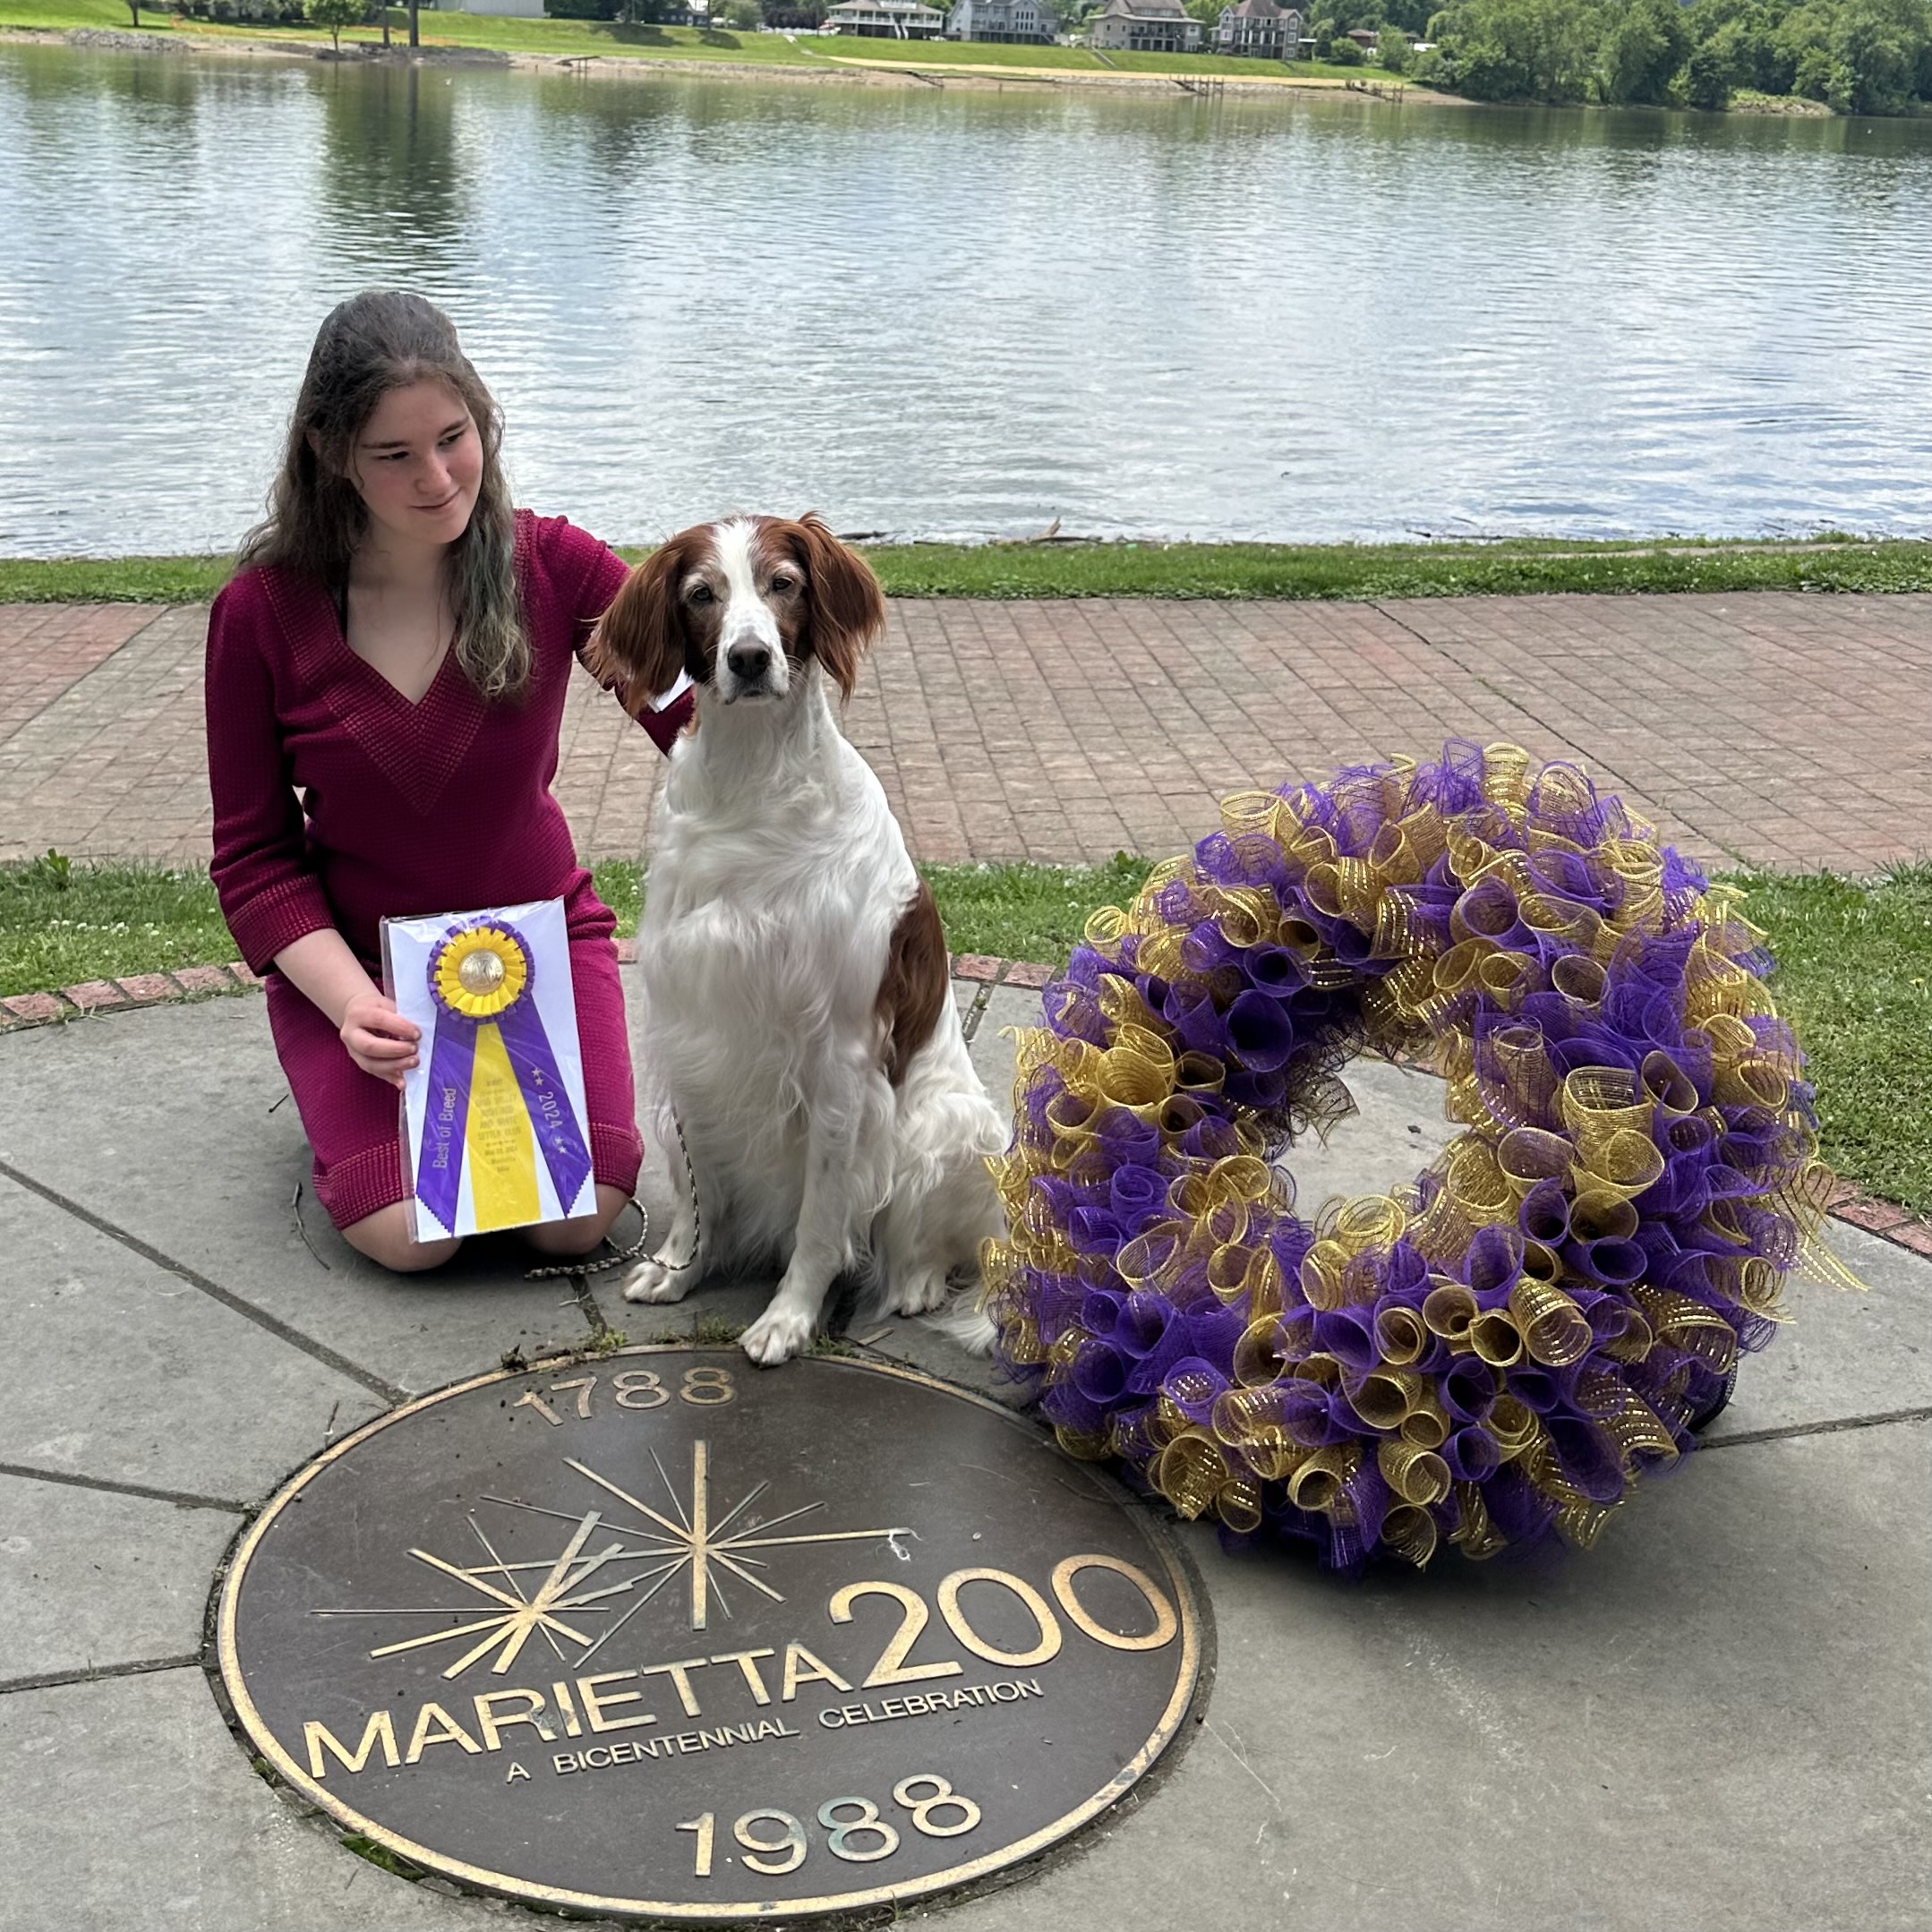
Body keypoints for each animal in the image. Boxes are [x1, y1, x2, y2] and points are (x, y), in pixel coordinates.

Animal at [586, 515, 1007, 1366]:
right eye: (701, 594)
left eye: (783, 583)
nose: (749, 657)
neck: (750, 784)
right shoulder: (691, 1026)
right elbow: (697, 1189)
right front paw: (682, 1267)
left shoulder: (840, 1055)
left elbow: (822, 1214)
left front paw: (789, 1316)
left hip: (953, 1124)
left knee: (931, 1243)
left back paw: (914, 1284)